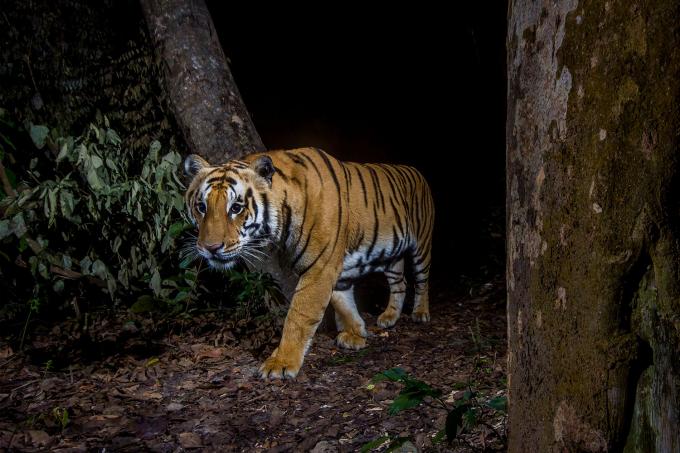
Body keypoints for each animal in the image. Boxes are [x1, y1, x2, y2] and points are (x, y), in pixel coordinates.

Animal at [183, 147, 432, 378]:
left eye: (236, 207)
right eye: (201, 207)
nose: (210, 248)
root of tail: (416, 171)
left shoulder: (320, 267)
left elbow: (299, 316)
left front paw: (281, 363)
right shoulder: (334, 268)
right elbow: (342, 300)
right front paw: (356, 333)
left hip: (422, 243)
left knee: (422, 280)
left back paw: (420, 313)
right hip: (391, 256)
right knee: (400, 283)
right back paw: (389, 317)